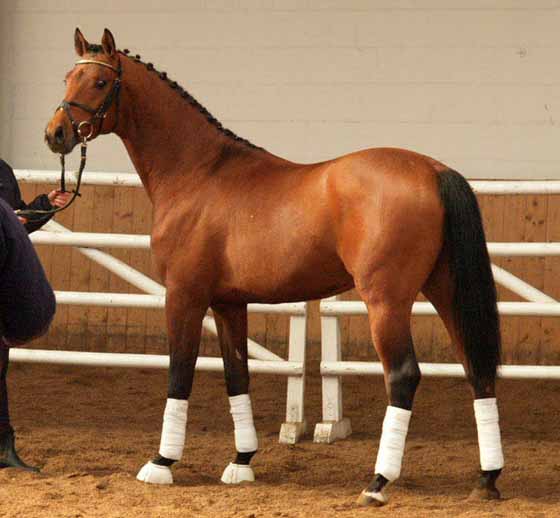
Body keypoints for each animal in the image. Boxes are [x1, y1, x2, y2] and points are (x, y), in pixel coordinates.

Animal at [46, 29, 506, 508]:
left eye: (100, 82)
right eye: (68, 77)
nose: (56, 133)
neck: (198, 173)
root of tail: (433, 170)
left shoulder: (184, 295)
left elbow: (180, 372)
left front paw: (161, 463)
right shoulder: (228, 303)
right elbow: (236, 375)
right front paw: (241, 461)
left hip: (387, 302)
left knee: (403, 376)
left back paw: (378, 482)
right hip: (446, 291)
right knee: (477, 368)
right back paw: (486, 478)